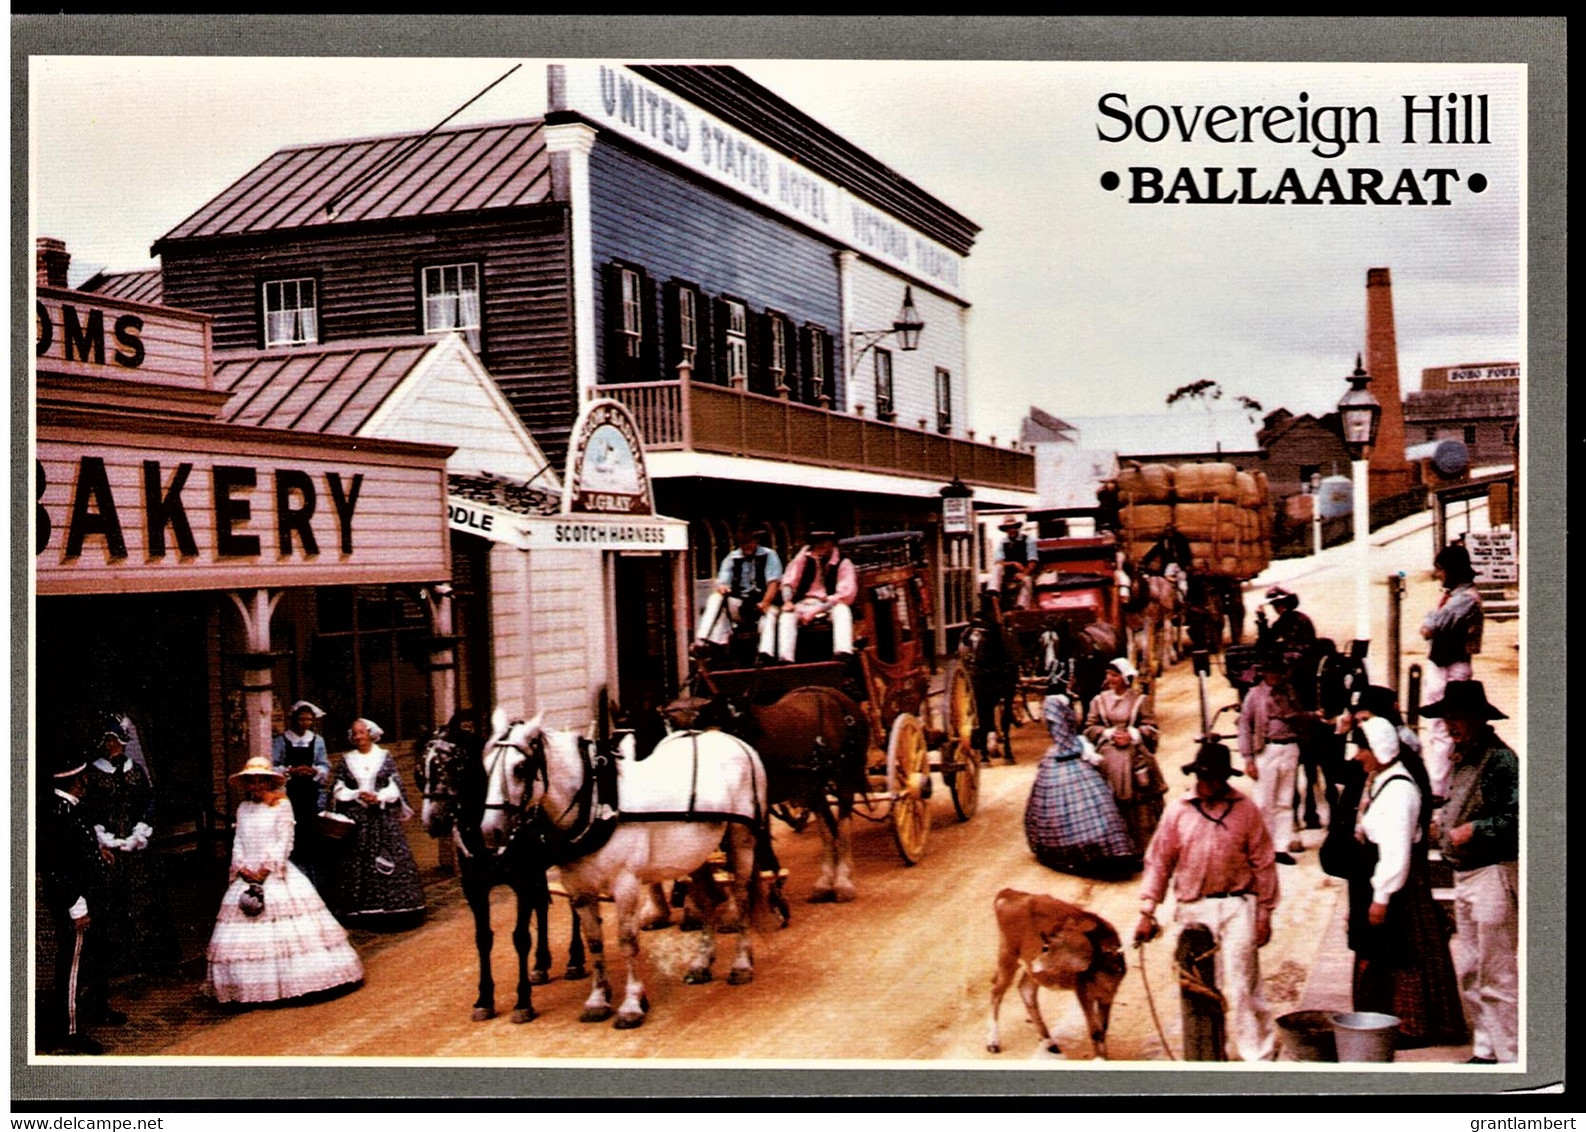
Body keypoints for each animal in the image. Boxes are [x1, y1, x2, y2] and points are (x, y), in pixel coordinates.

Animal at [415, 710, 589, 1021]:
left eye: (454, 763)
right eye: (419, 767)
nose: (433, 820)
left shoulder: (521, 881)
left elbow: (520, 937)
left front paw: (522, 1002)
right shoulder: (475, 887)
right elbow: (483, 938)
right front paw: (484, 999)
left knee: (573, 904)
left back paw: (575, 960)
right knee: (542, 905)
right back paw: (541, 965)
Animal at [478, 710, 770, 1027]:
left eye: (520, 768)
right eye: (485, 766)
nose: (490, 832)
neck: (597, 805)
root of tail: (728, 738)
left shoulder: (626, 885)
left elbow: (627, 942)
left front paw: (631, 1005)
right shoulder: (579, 892)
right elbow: (594, 943)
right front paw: (598, 1000)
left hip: (741, 841)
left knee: (741, 897)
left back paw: (741, 965)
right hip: (696, 853)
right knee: (707, 900)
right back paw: (702, 964)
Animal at [989, 887, 1129, 1052]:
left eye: (1046, 947)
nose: (1035, 961)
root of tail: (1008, 893)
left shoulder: (1109, 994)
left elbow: (1103, 1029)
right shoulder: (1083, 992)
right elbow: (1095, 1031)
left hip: (1028, 969)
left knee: (1025, 989)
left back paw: (1049, 1042)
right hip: (1007, 954)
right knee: (996, 992)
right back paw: (993, 1042)